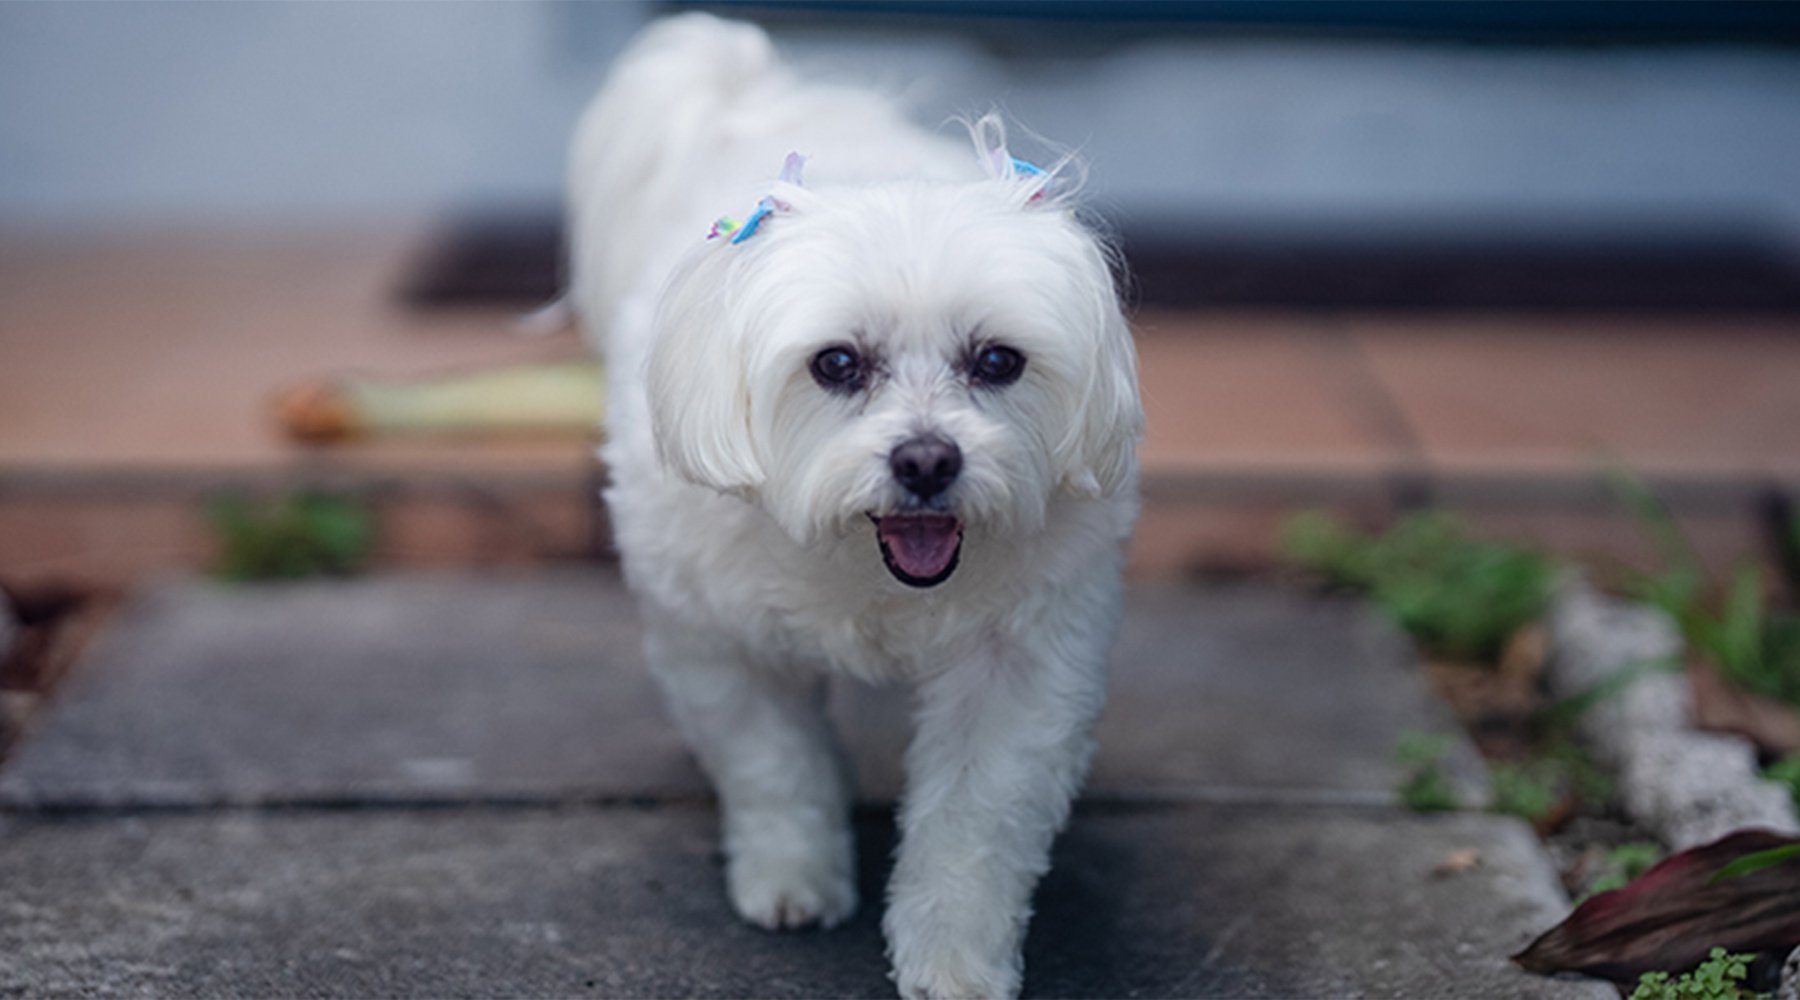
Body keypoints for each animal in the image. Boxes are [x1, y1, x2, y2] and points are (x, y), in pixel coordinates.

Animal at [568, 15, 1137, 1000]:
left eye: (998, 361)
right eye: (836, 363)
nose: (927, 459)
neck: (862, 566)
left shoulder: (1023, 666)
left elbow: (977, 824)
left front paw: (953, 958)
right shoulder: (719, 642)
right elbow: (773, 768)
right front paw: (791, 879)